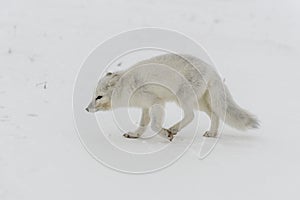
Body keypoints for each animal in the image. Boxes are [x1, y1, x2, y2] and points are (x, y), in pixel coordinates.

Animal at [85, 53, 258, 141]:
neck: (127, 85)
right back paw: (211, 134)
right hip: (201, 102)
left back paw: (174, 129)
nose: (86, 109)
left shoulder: (156, 102)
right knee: (214, 114)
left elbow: (154, 125)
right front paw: (135, 135)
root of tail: (211, 69)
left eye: (99, 97)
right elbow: (143, 124)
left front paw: (165, 134)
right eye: (93, 96)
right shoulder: (145, 106)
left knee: (191, 116)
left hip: (182, 98)